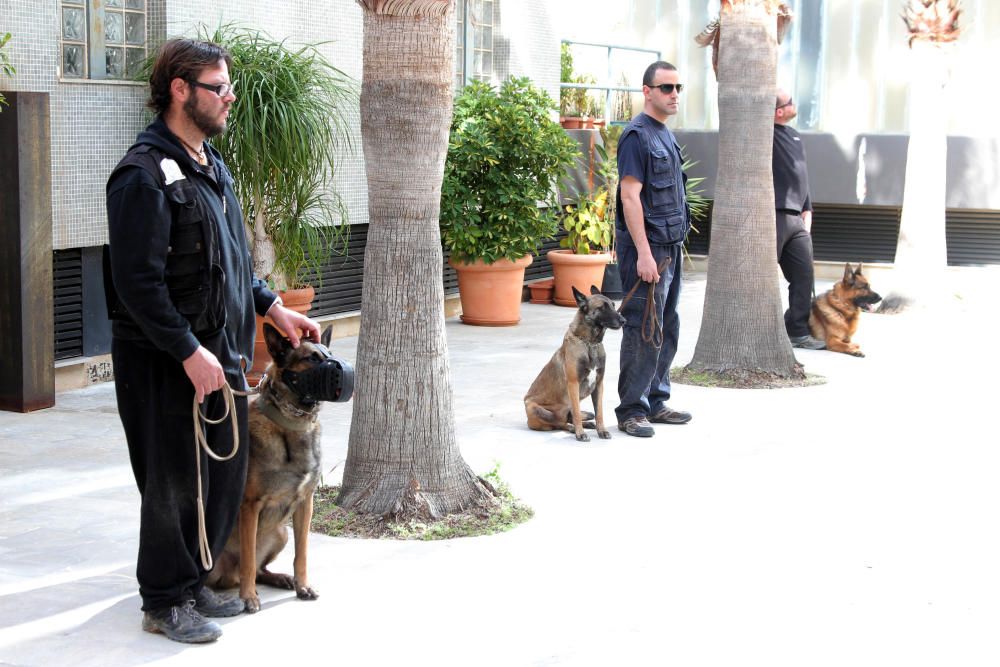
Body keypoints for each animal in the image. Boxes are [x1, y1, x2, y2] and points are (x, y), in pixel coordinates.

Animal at [205, 324, 354, 616]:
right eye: (311, 359)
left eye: (329, 354)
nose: (345, 373)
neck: (291, 424)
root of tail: (229, 575)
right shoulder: (250, 506)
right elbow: (249, 558)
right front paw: (248, 597)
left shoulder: (305, 503)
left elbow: (302, 553)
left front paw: (302, 585)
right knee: (241, 569)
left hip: (280, 532)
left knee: (260, 569)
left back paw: (280, 578)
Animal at [524, 284, 624, 440]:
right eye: (602, 308)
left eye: (613, 305)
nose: (624, 320)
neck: (589, 343)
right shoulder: (573, 384)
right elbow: (577, 413)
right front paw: (580, 433)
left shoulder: (599, 385)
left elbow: (599, 413)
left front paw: (601, 430)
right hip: (534, 407)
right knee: (560, 423)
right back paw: (573, 428)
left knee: (574, 417)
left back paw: (587, 424)